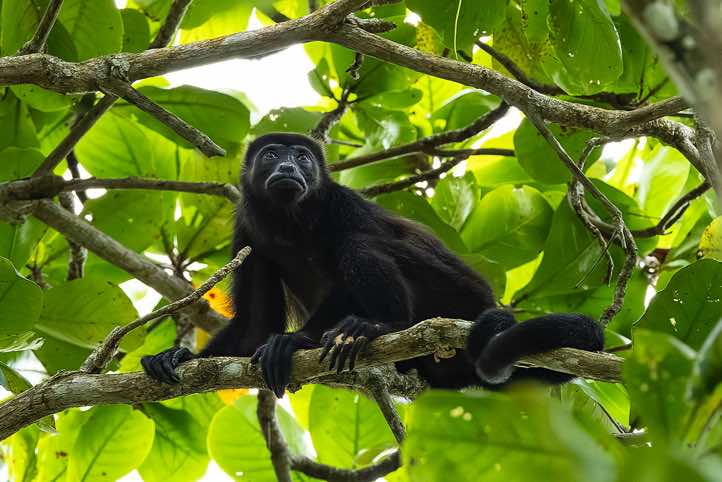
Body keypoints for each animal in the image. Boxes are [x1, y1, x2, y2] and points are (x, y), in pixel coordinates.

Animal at [141, 132, 604, 397]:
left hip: (456, 293)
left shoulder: (340, 204)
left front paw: (297, 340)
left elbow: (346, 270)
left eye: (303, 158)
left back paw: (379, 325)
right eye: (271, 155)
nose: (289, 165)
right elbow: (253, 327)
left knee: (360, 245)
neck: (290, 221)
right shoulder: (248, 233)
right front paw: (177, 356)